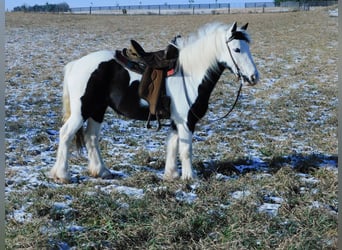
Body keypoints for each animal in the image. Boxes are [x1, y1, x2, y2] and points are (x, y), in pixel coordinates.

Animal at [50, 22, 260, 184]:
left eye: (248, 47)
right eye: (237, 49)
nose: (253, 77)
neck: (190, 73)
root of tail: (76, 64)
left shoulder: (176, 120)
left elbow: (172, 144)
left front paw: (171, 175)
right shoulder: (186, 121)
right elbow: (186, 149)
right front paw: (190, 178)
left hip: (97, 110)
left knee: (91, 137)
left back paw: (101, 171)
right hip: (82, 110)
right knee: (66, 134)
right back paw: (62, 175)